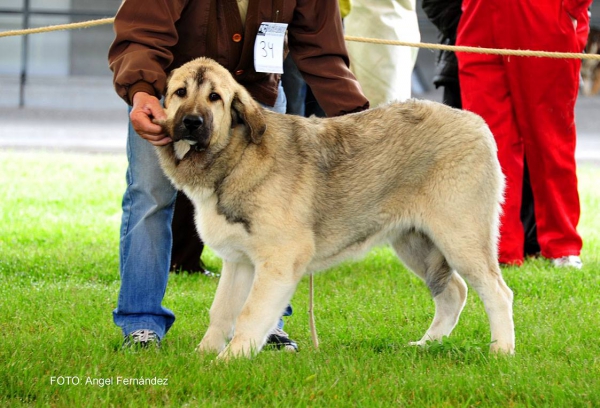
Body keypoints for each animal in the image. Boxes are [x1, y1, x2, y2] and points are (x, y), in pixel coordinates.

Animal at [155, 56, 516, 356]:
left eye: (215, 97)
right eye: (180, 93)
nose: (191, 122)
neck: (237, 155)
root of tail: (475, 122)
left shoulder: (278, 261)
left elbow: (250, 313)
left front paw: (231, 359)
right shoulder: (239, 263)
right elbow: (222, 312)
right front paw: (204, 356)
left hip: (460, 239)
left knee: (497, 292)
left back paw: (501, 350)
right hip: (418, 244)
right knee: (453, 291)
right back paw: (427, 344)